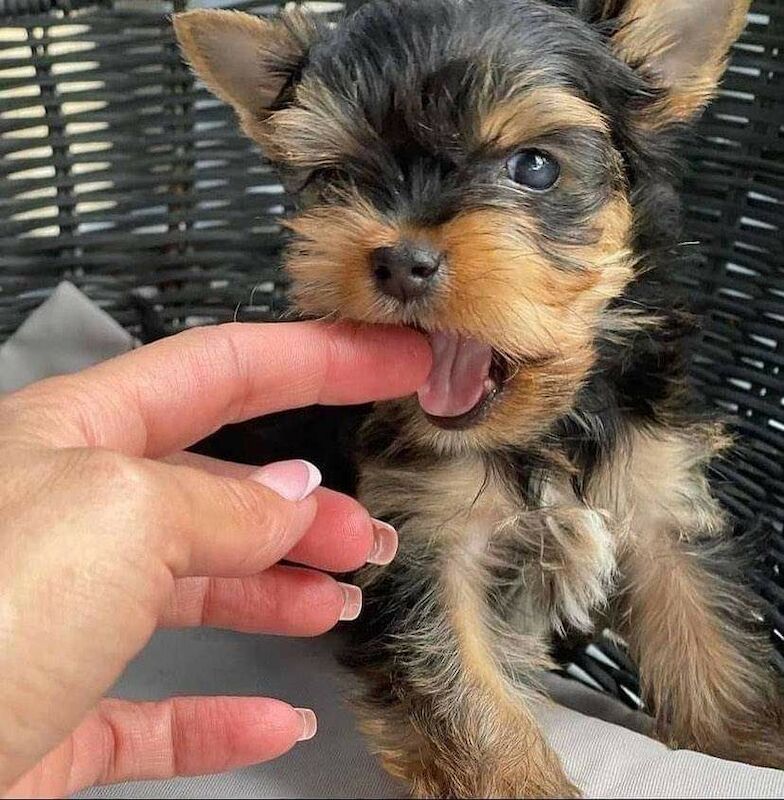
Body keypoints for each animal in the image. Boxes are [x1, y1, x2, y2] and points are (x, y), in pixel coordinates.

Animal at [175, 1, 780, 792]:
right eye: (337, 176)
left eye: (535, 166)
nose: (400, 261)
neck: (547, 428)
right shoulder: (425, 544)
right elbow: (465, 689)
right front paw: (520, 779)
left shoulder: (658, 498)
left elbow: (711, 642)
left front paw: (754, 744)